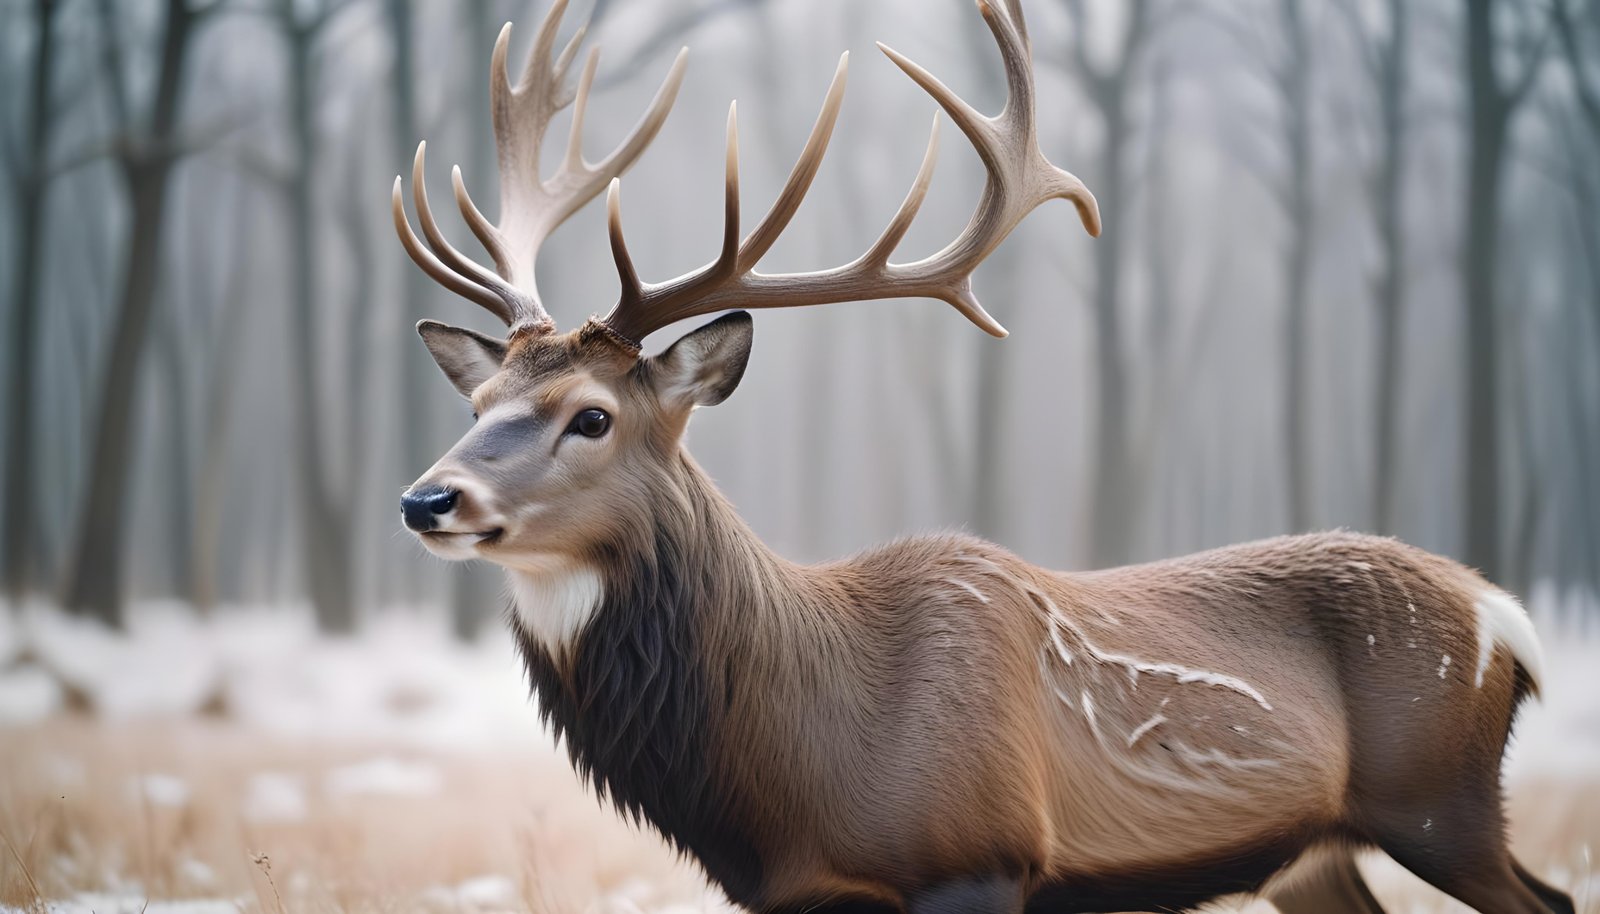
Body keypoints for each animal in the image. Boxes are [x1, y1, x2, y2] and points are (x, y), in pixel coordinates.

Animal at [389, 1, 1572, 912]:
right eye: (482, 398)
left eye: (591, 416)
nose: (426, 498)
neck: (795, 773)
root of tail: (1504, 618)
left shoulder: (976, 854)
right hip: (1316, 851)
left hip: (1439, 796)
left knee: (1546, 895)